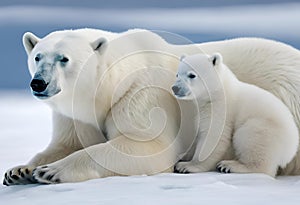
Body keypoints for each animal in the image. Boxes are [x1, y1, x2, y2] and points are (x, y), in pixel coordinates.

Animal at [2, 27, 300, 186]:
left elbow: (147, 147)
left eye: (64, 58)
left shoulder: (142, 95)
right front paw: (19, 170)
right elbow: (64, 143)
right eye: (37, 56)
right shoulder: (77, 117)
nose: (38, 83)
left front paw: (51, 171)